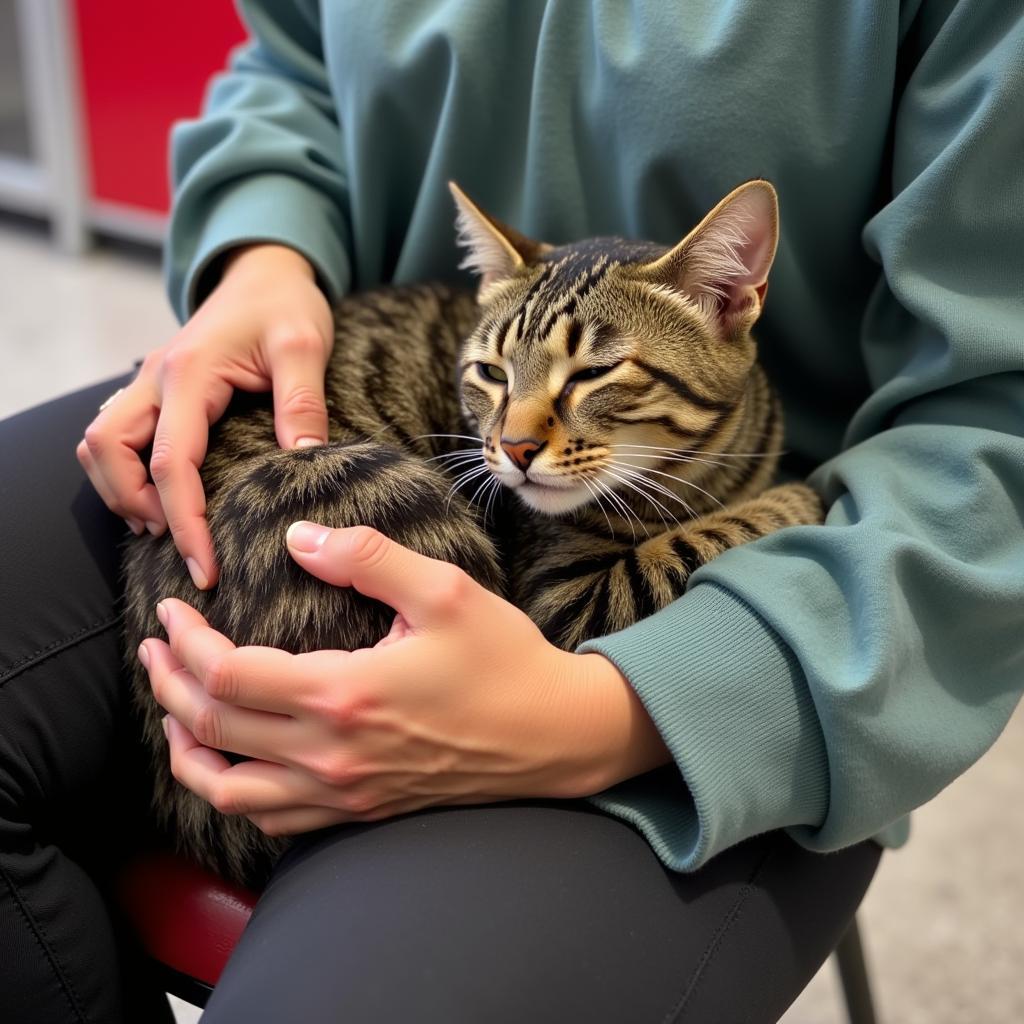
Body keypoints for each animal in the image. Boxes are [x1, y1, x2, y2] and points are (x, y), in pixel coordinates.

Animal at [121, 180, 823, 884]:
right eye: (491, 372)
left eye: (593, 373)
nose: (513, 447)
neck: (699, 473)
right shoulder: (570, 605)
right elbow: (691, 541)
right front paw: (798, 495)